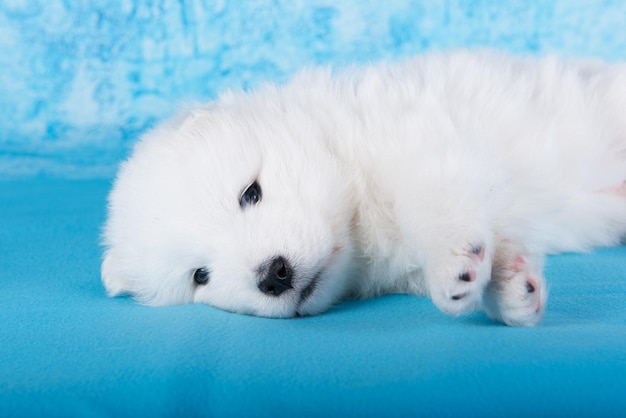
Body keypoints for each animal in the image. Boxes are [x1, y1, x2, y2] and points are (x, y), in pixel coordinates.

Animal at [100, 50, 620, 326]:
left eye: (250, 193)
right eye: (200, 276)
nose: (274, 275)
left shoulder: (422, 140)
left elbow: (432, 205)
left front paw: (454, 264)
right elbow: (493, 234)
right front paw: (514, 286)